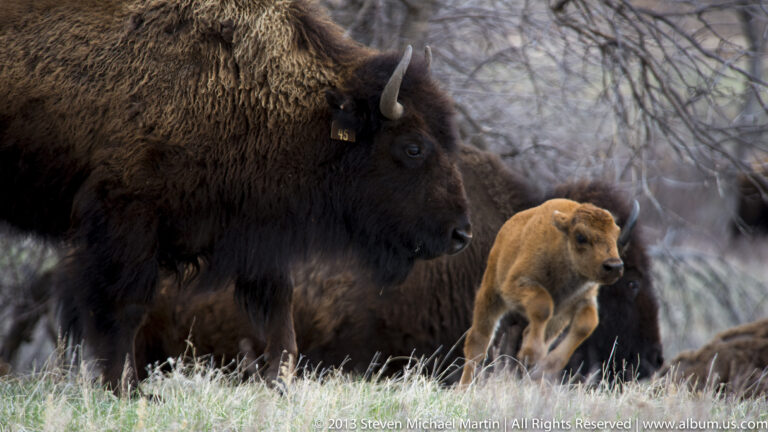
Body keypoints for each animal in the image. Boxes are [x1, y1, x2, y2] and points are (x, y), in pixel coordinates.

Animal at [0, 0, 472, 393]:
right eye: (413, 147)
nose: (461, 234)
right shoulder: (124, 222)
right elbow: (123, 311)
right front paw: (123, 391)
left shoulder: (258, 237)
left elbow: (281, 315)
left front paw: (278, 386)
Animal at [460, 199, 624, 386]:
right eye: (580, 236)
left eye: (616, 233)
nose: (614, 266)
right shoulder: (516, 285)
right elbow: (542, 306)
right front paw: (531, 353)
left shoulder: (583, 300)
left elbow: (586, 325)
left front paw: (548, 363)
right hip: (492, 293)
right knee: (478, 342)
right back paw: (464, 387)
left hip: (558, 318)